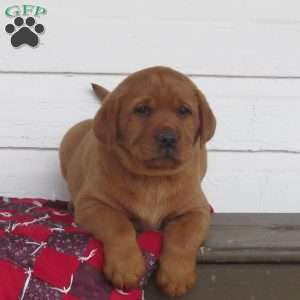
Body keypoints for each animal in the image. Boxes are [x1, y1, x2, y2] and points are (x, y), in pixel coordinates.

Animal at [59, 65, 216, 296]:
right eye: (142, 110)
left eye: (184, 111)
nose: (168, 138)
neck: (154, 179)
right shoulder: (93, 203)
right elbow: (119, 225)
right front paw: (126, 267)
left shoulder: (196, 210)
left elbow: (183, 237)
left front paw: (176, 275)